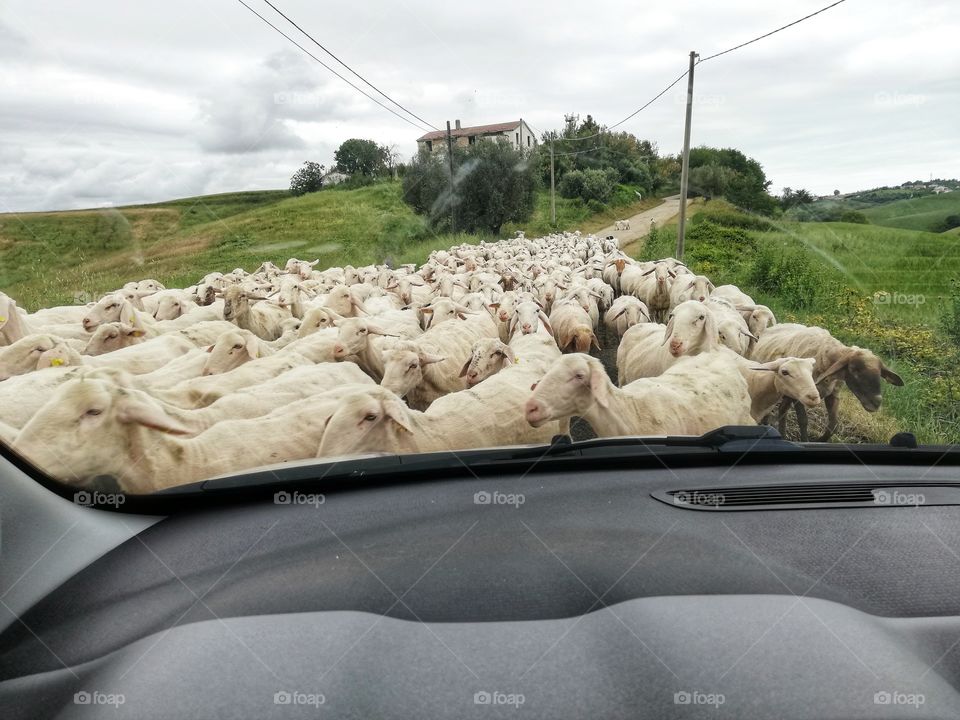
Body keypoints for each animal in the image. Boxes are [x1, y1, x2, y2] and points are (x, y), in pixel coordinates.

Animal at [751, 324, 904, 441]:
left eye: (879, 373)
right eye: (854, 370)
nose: (876, 403)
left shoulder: (833, 395)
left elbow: (833, 425)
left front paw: (820, 440)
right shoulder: (801, 397)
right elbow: (803, 421)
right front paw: (806, 440)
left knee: (783, 409)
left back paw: (781, 434)